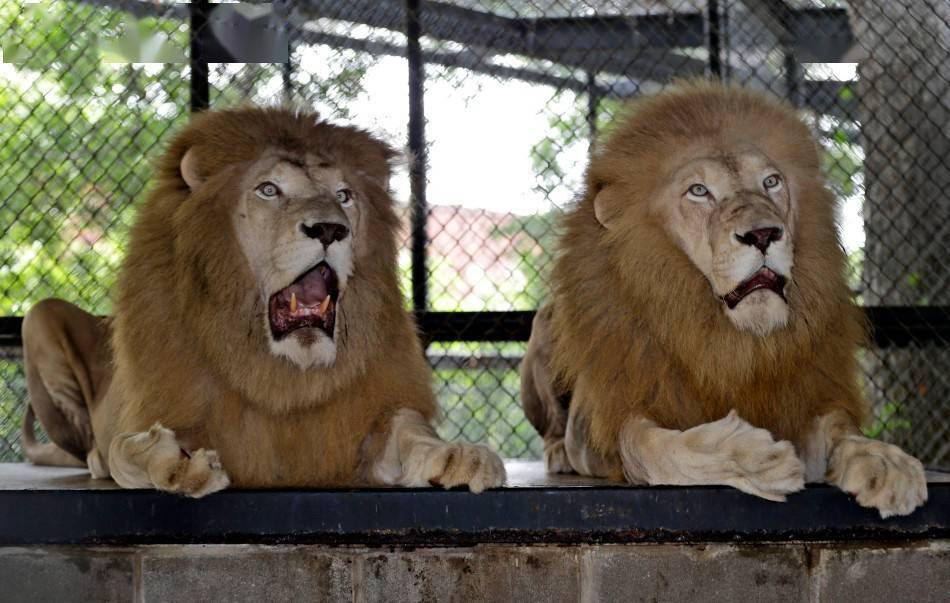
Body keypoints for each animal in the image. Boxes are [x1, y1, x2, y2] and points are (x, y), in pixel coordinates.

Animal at [20, 106, 506, 498]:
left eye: (344, 195)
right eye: (269, 190)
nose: (331, 229)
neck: (285, 372)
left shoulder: (371, 417)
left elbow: (412, 430)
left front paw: (459, 455)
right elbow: (126, 450)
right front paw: (177, 464)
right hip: (38, 315)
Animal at [520, 79, 928, 520]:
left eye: (771, 182)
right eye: (699, 191)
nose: (764, 234)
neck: (733, 341)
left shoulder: (803, 398)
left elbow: (839, 428)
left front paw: (883, 460)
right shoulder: (607, 424)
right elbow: (648, 446)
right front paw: (753, 458)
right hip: (545, 329)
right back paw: (558, 454)